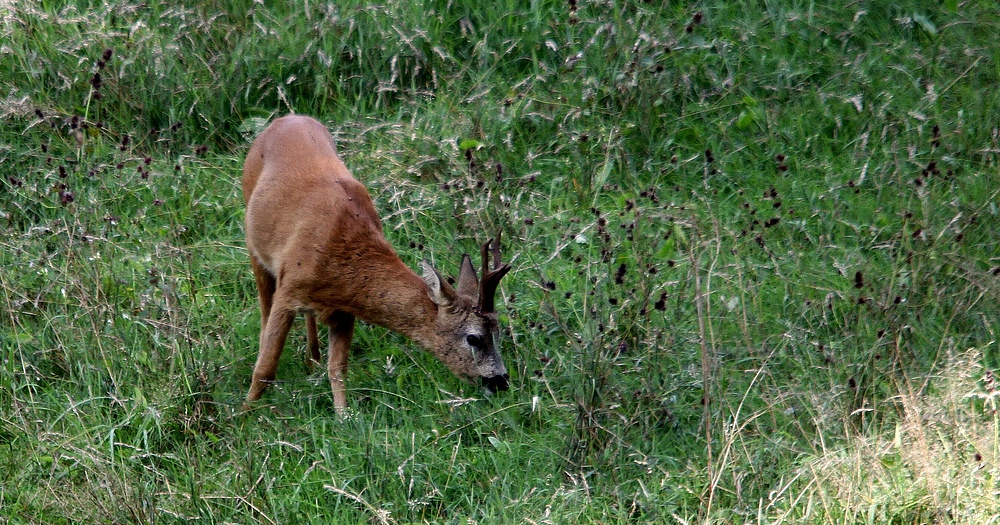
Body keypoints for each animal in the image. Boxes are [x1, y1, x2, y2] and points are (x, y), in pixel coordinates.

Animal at [239, 115, 512, 414]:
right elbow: (265, 368)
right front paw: (244, 413)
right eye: (474, 338)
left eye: (499, 332)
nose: (501, 381)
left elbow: (338, 369)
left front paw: (344, 415)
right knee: (264, 311)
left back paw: (312, 358)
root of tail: (285, 118)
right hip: (254, 243)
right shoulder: (288, 292)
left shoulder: (344, 311)